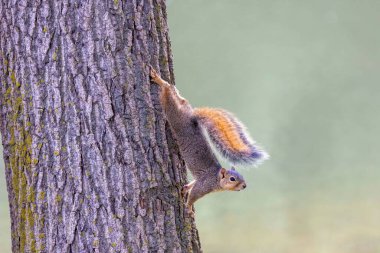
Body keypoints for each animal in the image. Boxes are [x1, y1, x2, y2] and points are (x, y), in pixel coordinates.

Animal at [148, 67, 268, 215]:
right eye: (232, 179)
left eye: (242, 176)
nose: (244, 186)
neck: (216, 178)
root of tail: (191, 117)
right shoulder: (203, 186)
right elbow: (193, 195)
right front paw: (189, 208)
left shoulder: (199, 181)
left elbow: (193, 183)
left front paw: (185, 188)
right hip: (174, 117)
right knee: (168, 92)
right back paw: (158, 79)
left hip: (183, 106)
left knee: (178, 96)